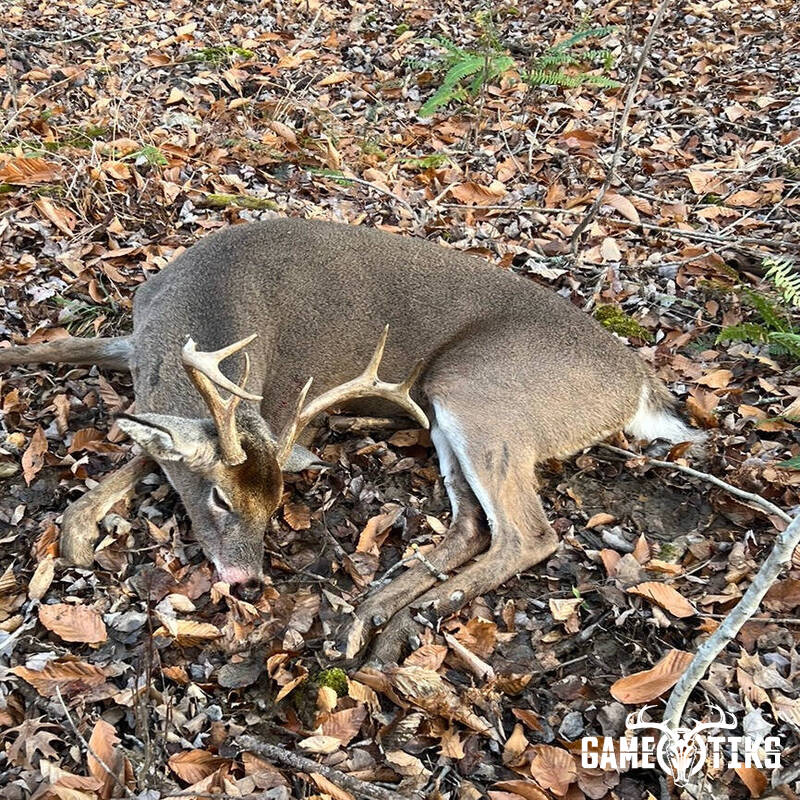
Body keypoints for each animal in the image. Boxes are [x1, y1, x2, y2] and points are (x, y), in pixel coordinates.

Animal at [0, 218, 703, 663]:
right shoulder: (136, 341)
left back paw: (411, 614)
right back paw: (375, 615)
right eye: (222, 500)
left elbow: (145, 447)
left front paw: (76, 532)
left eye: (273, 506)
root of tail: (639, 383)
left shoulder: (280, 402)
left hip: (479, 392)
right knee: (470, 525)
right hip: (443, 414)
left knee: (528, 532)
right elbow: (58, 350)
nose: (248, 580)